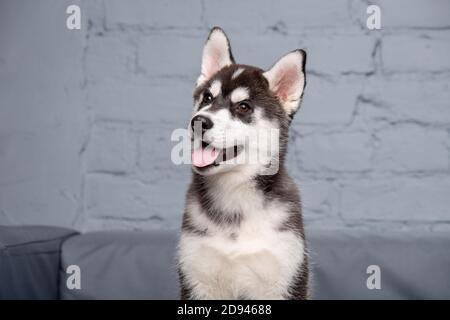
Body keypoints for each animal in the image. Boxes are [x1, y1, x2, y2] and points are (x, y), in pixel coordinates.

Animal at [178, 27, 308, 300]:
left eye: (244, 106)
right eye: (207, 97)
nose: (199, 121)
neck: (234, 195)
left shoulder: (286, 276)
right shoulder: (196, 279)